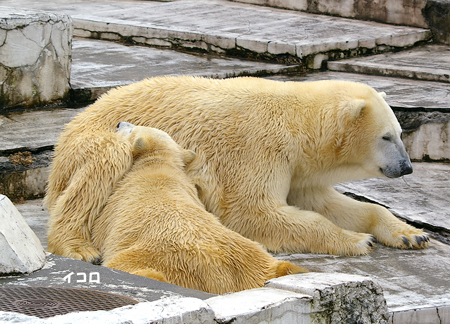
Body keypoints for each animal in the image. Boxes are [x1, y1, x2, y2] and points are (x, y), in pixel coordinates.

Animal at [45, 76, 428, 264]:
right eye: (386, 136)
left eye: (400, 132)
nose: (407, 167)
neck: (297, 123)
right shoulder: (259, 148)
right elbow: (254, 212)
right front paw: (357, 241)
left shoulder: (298, 169)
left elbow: (326, 204)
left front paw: (411, 234)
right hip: (93, 139)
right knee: (100, 167)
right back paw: (78, 247)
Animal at [90, 121, 306, 294]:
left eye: (131, 128)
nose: (119, 123)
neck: (160, 164)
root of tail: (216, 274)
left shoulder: (117, 203)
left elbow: (99, 231)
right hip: (251, 257)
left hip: (151, 257)